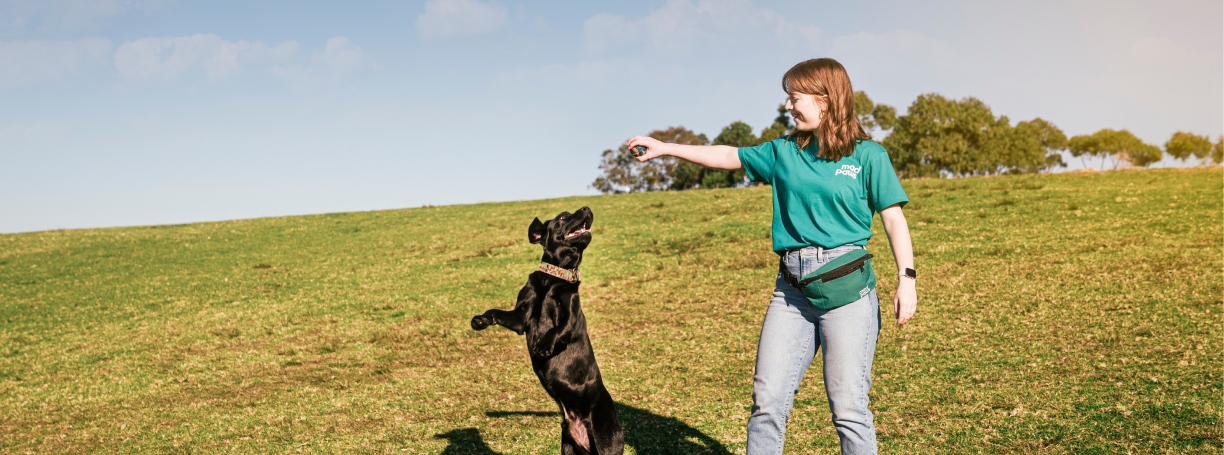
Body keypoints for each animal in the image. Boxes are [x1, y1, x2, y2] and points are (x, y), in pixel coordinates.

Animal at [467, 206, 621, 455]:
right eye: (563, 217)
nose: (587, 208)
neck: (553, 279)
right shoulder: (521, 317)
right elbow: (497, 312)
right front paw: (481, 320)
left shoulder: (571, 317)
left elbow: (556, 330)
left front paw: (543, 346)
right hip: (567, 446)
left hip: (606, 442)